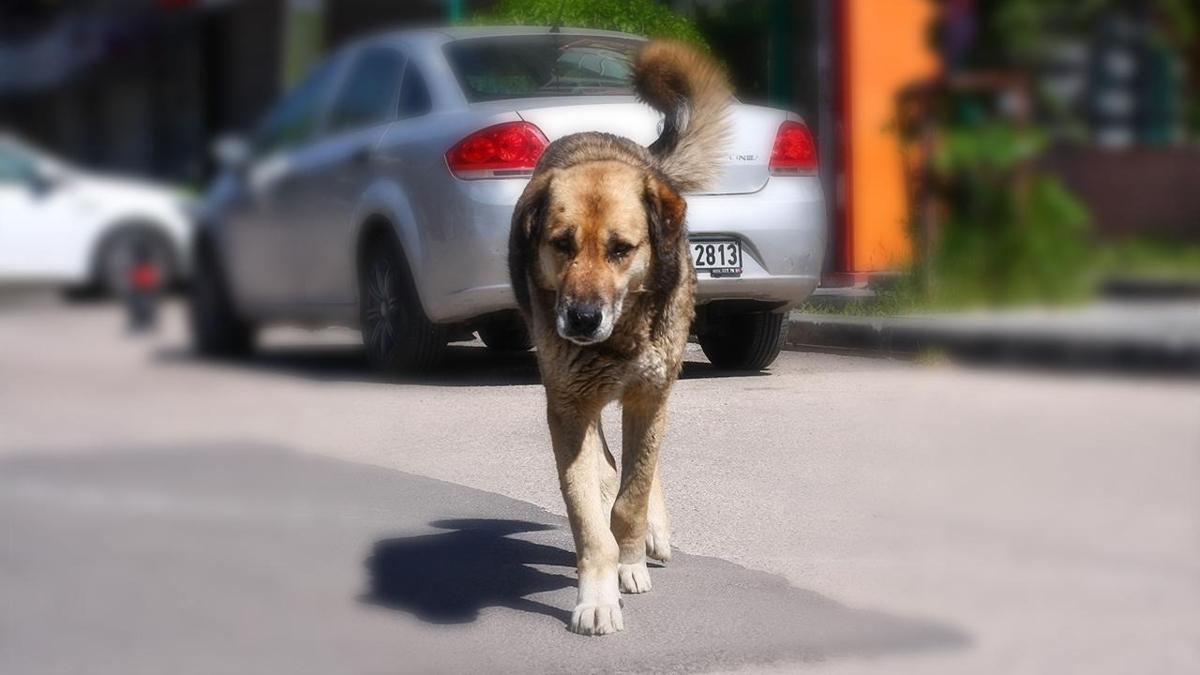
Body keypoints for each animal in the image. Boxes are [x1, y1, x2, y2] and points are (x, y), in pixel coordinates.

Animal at [506, 40, 729, 629]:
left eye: (621, 249)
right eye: (561, 243)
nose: (581, 319)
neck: (619, 338)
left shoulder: (649, 398)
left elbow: (633, 495)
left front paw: (630, 561)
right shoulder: (567, 406)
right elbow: (588, 513)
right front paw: (597, 594)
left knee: (638, 472)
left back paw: (651, 530)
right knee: (607, 465)